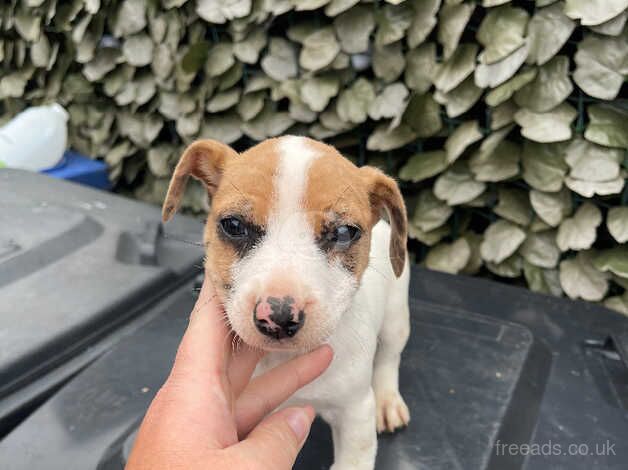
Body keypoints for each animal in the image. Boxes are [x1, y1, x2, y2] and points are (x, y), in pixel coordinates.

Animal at [161, 134, 412, 468]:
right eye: (233, 225)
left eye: (345, 232)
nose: (277, 317)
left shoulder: (356, 412)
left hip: (396, 318)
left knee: (388, 357)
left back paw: (388, 400)